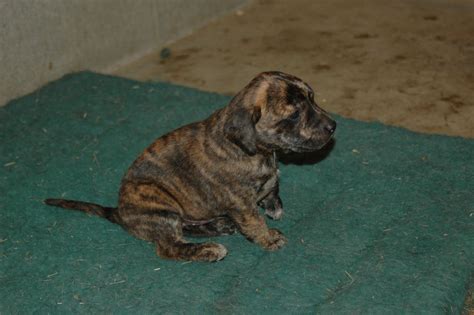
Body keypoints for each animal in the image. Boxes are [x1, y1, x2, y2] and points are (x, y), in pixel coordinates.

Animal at [43, 73, 334, 262]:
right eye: (294, 115)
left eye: (312, 98)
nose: (333, 126)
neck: (250, 150)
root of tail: (120, 211)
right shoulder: (240, 203)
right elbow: (253, 221)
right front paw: (268, 238)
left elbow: (272, 185)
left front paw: (273, 202)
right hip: (161, 206)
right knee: (169, 247)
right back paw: (208, 250)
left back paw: (219, 226)